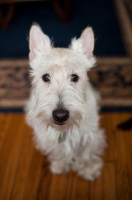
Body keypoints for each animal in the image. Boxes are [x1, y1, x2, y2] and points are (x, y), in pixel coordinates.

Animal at [25, 24, 106, 180]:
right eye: (45, 77)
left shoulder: (90, 135)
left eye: (75, 77)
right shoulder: (49, 138)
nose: (60, 115)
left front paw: (89, 170)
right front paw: (60, 165)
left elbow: (86, 153)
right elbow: (58, 151)